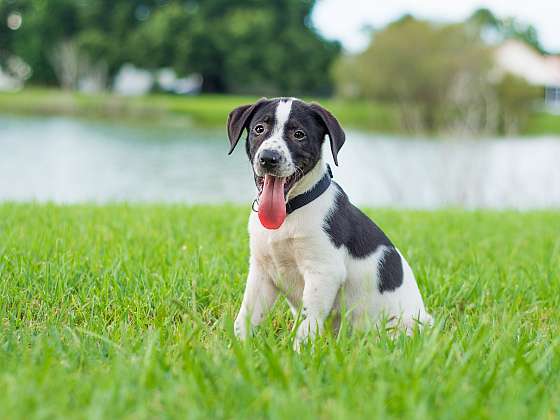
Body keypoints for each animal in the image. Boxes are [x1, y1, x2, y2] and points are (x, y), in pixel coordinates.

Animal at [228, 97, 434, 348]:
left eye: (299, 134)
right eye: (259, 129)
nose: (268, 158)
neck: (290, 212)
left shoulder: (323, 272)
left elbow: (307, 323)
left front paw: (298, 353)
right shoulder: (261, 271)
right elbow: (245, 316)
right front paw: (235, 349)